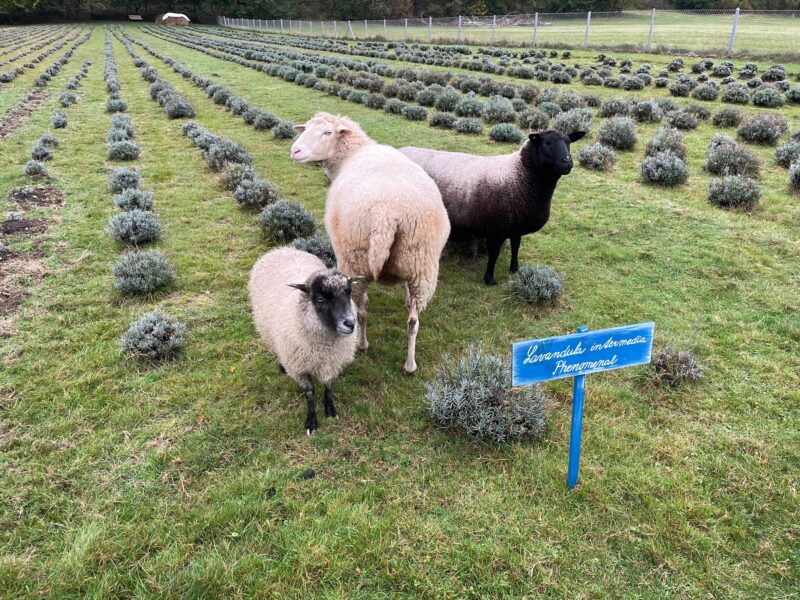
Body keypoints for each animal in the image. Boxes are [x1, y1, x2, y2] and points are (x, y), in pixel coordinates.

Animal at [250, 246, 362, 434]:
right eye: (320, 298)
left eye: (349, 293)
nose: (350, 324)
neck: (325, 346)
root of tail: (281, 249)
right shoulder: (299, 367)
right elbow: (310, 393)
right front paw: (311, 421)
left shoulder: (331, 361)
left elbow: (328, 386)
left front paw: (330, 409)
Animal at [290, 112, 450, 372]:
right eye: (306, 128)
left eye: (327, 132)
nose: (295, 151)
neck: (352, 153)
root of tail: (387, 214)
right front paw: (405, 299)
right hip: (421, 263)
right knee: (413, 321)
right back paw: (410, 364)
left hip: (355, 262)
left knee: (362, 310)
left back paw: (362, 344)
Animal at [404, 129, 584, 284]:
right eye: (547, 144)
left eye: (569, 143)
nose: (567, 162)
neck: (520, 174)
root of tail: (401, 150)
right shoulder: (497, 228)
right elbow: (494, 254)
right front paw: (489, 278)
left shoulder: (516, 226)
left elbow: (516, 246)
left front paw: (515, 269)